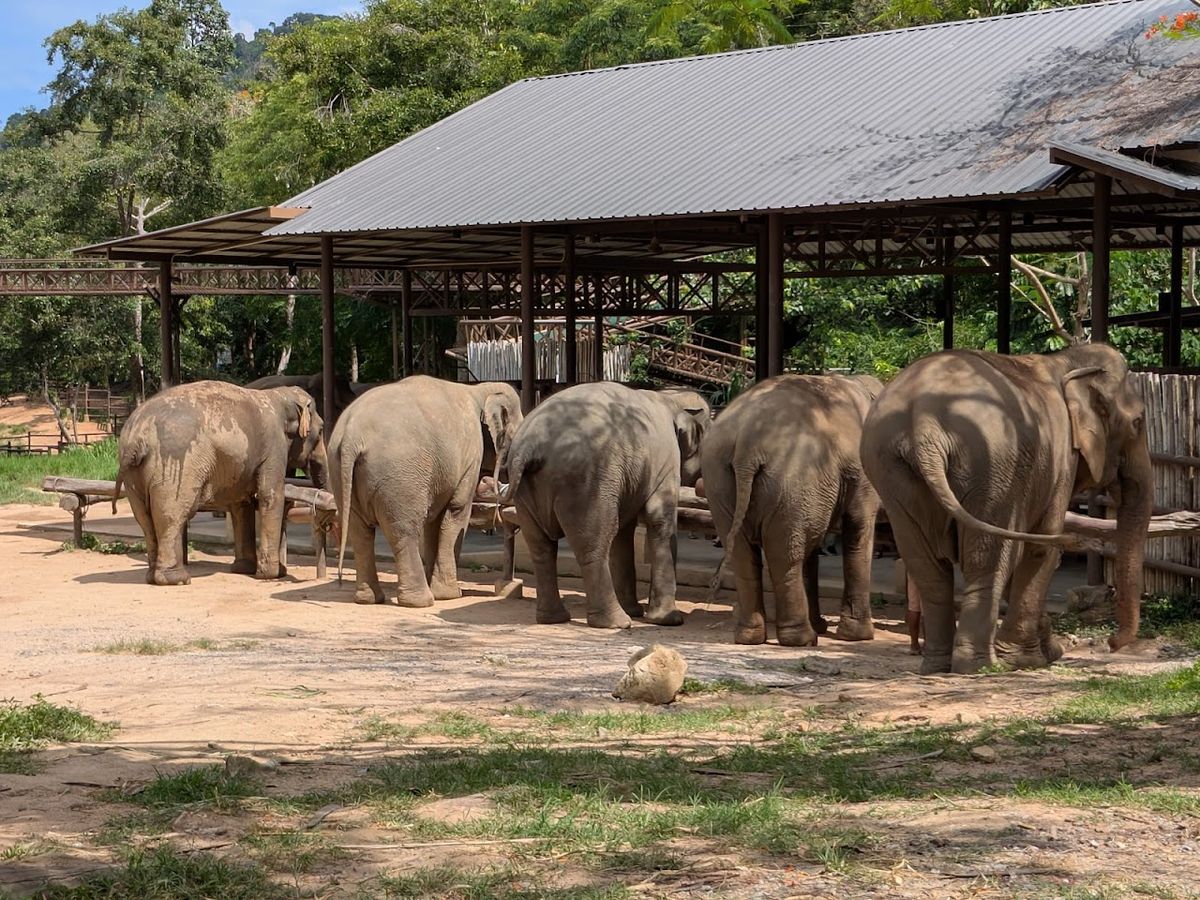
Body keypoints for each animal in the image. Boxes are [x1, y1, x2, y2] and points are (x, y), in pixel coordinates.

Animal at [115, 381, 328, 585]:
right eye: (321, 430)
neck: (279, 395)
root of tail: (137, 437)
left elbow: (241, 504)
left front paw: (244, 569)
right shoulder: (274, 447)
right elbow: (270, 495)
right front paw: (273, 575)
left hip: (133, 476)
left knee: (144, 518)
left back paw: (152, 578)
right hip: (175, 465)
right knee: (172, 515)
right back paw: (177, 580)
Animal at [329, 376, 523, 607]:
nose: (487, 482)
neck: (480, 389)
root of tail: (351, 436)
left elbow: (435, 521)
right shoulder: (470, 455)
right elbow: (457, 512)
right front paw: (450, 595)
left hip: (340, 472)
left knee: (359, 531)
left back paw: (369, 599)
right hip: (399, 476)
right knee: (403, 531)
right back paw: (420, 601)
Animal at [503, 382, 708, 629]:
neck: (669, 399)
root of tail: (530, 444)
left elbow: (625, 530)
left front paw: (639, 612)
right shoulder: (666, 460)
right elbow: (658, 518)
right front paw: (669, 620)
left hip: (527, 493)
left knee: (541, 548)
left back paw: (553, 618)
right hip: (586, 485)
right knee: (594, 545)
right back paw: (618, 623)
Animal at [701, 374, 883, 647]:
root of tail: (746, 445)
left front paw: (825, 627)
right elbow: (858, 528)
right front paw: (857, 637)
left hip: (720, 480)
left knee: (745, 554)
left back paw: (750, 637)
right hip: (791, 479)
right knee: (786, 555)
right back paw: (803, 639)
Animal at [860, 344, 1153, 675]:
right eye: (1138, 422)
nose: (1112, 644)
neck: (1065, 360)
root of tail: (924, 424)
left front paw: (1046, 650)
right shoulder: (1060, 458)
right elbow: (1042, 546)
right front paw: (1031, 659)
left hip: (892, 470)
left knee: (927, 565)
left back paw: (937, 665)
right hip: (992, 466)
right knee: (990, 558)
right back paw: (979, 667)